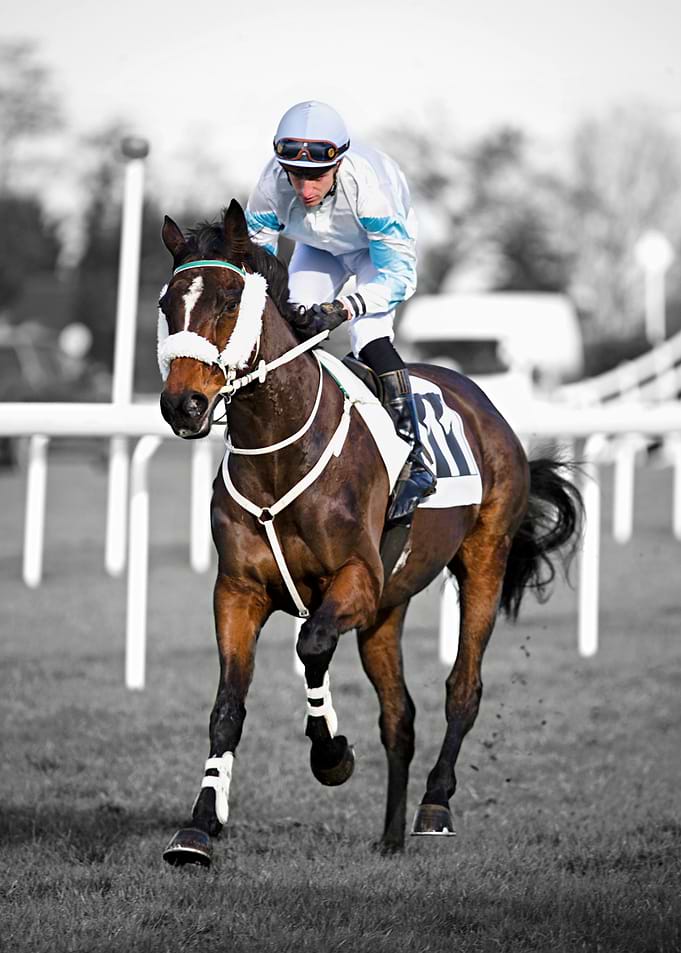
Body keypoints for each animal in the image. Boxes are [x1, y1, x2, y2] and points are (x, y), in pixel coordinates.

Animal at [157, 199, 583, 867]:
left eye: (228, 300)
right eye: (165, 304)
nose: (184, 406)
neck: (279, 452)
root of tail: (485, 403)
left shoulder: (355, 579)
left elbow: (311, 646)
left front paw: (331, 754)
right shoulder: (239, 591)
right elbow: (227, 706)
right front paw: (199, 826)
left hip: (482, 561)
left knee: (463, 687)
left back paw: (434, 806)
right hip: (388, 606)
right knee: (399, 714)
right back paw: (389, 836)